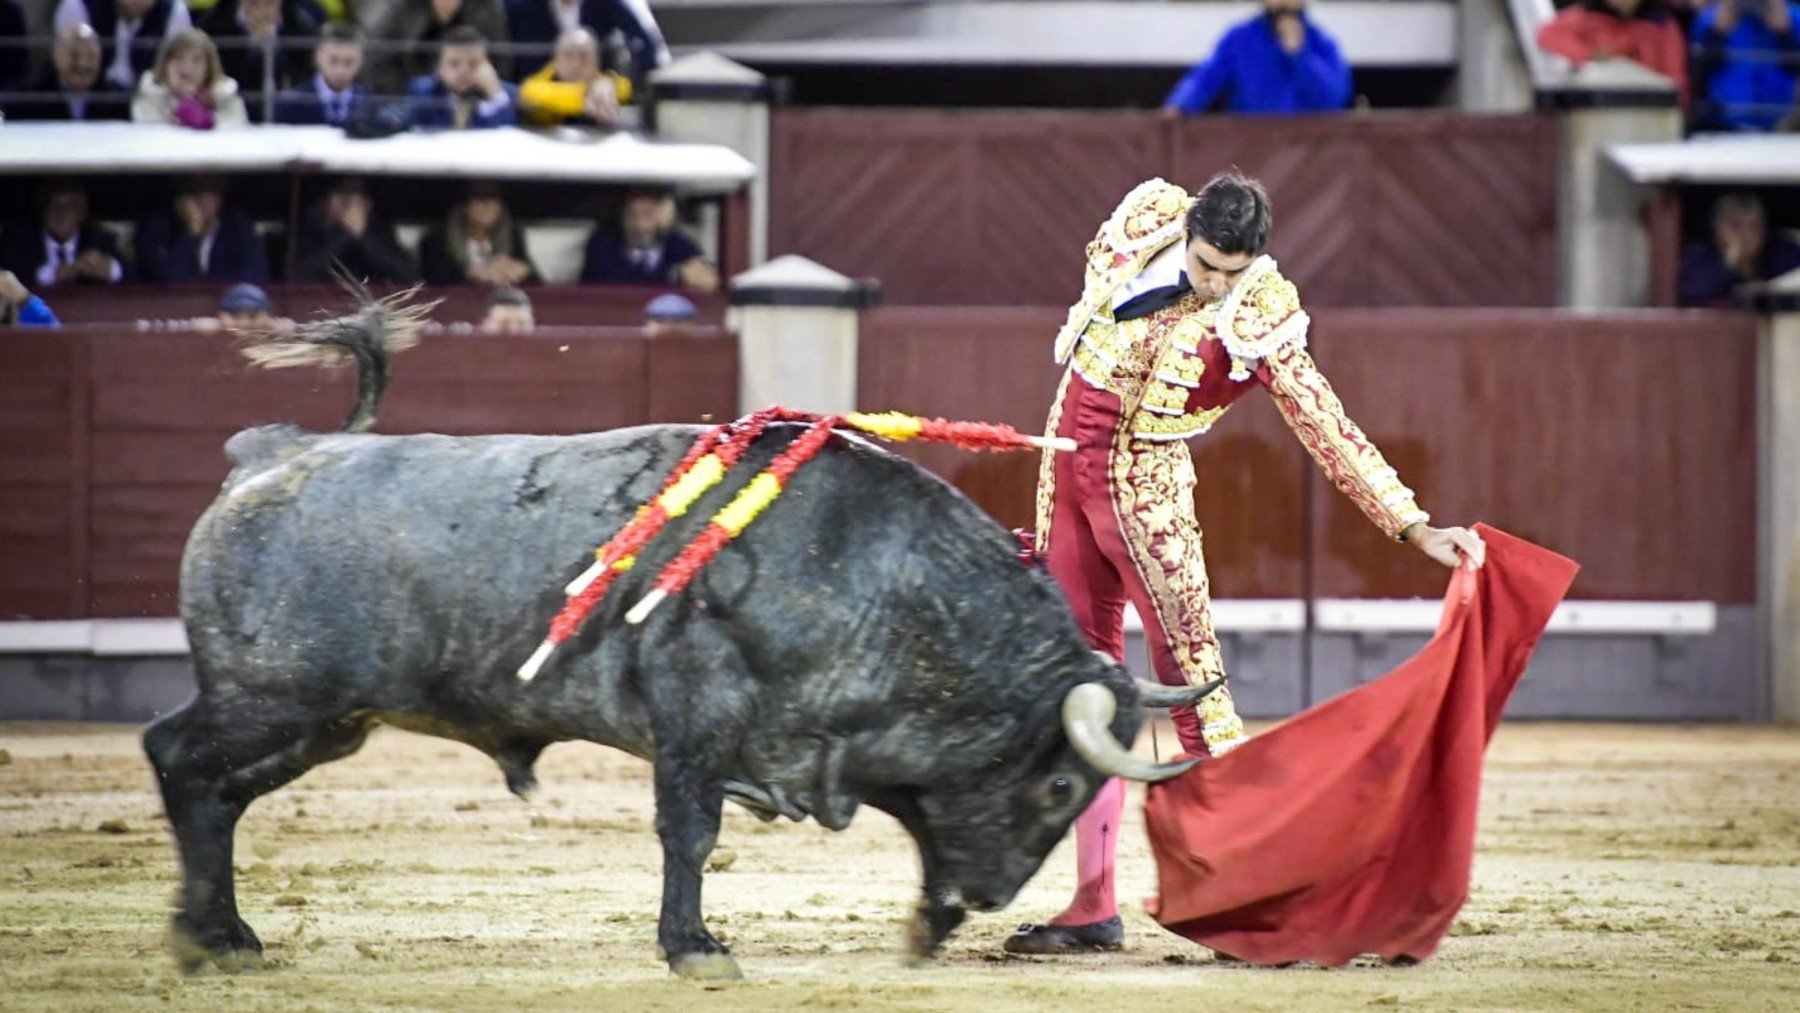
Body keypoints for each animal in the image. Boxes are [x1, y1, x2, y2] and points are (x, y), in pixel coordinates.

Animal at [144, 327, 1209, 986]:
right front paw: (696, 947)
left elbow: (917, 840)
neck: (889, 575)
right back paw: (204, 937)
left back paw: (228, 932)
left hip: (324, 723)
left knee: (220, 794)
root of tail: (270, 454)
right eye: (1060, 786)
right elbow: (689, 832)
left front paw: (927, 925)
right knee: (176, 756)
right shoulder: (697, 718)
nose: (995, 898)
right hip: (271, 696)